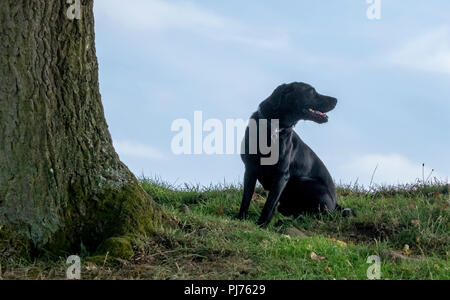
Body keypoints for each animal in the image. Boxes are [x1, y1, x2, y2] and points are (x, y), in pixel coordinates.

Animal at [239, 81, 352, 226]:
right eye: (311, 91)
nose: (336, 100)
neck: (274, 129)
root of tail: (335, 205)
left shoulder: (282, 175)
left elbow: (269, 203)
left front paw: (262, 224)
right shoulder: (250, 169)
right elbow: (246, 198)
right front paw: (240, 218)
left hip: (303, 181)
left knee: (314, 216)